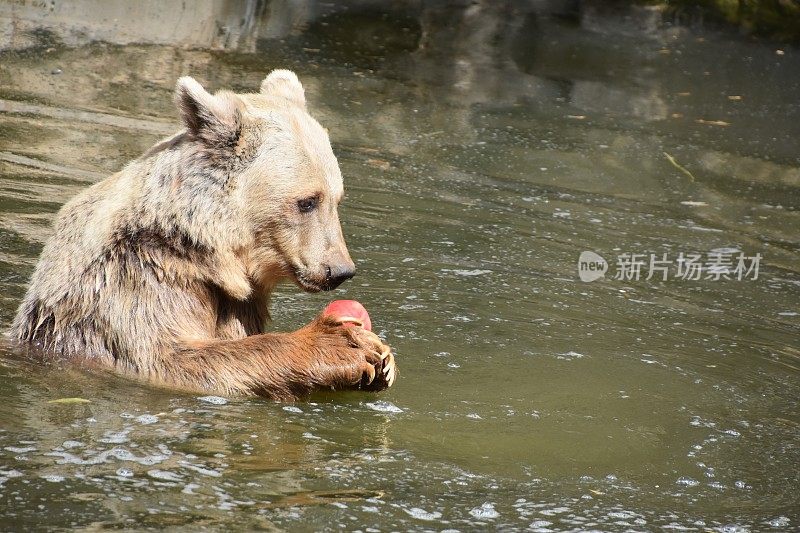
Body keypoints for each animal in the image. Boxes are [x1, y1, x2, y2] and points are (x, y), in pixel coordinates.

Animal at [6, 69, 394, 400]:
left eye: (336, 198)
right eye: (307, 201)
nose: (340, 270)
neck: (206, 254)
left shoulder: (237, 302)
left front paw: (384, 360)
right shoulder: (139, 278)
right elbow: (174, 358)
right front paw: (344, 344)